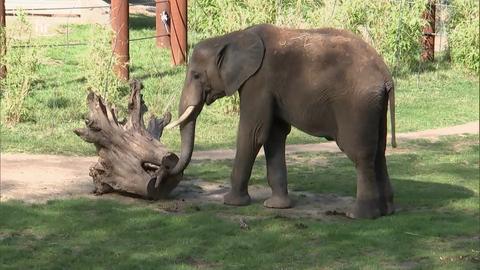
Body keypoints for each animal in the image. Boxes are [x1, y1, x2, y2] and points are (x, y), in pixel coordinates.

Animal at [165, 24, 398, 219]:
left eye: (196, 75)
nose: (167, 165)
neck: (233, 37)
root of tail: (385, 75)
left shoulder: (258, 82)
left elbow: (253, 134)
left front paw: (231, 203)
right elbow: (274, 136)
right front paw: (277, 206)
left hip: (357, 104)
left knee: (361, 154)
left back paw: (359, 215)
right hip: (374, 104)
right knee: (379, 151)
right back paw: (387, 211)